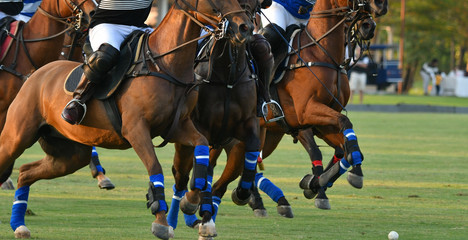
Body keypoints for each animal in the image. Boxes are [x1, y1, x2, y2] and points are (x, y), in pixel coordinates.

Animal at [0, 0, 252, 239]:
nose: (244, 27)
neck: (165, 64)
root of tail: (37, 74)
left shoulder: (178, 127)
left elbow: (201, 146)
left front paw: (194, 204)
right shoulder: (136, 129)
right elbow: (155, 167)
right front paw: (162, 223)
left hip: (70, 154)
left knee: (26, 172)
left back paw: (20, 226)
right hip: (16, 136)